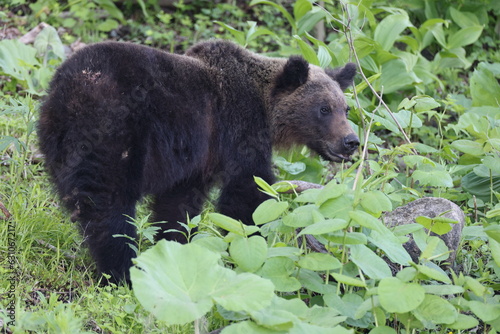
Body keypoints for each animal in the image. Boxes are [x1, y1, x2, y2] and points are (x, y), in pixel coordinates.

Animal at [38, 40, 360, 284]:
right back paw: (122, 269)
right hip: (115, 132)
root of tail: (69, 90)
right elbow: (246, 193)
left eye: (345, 108)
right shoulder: (235, 130)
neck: (267, 110)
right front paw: (250, 244)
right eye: (323, 108)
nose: (351, 141)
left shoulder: (194, 159)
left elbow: (178, 205)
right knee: (109, 206)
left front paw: (175, 248)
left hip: (57, 139)